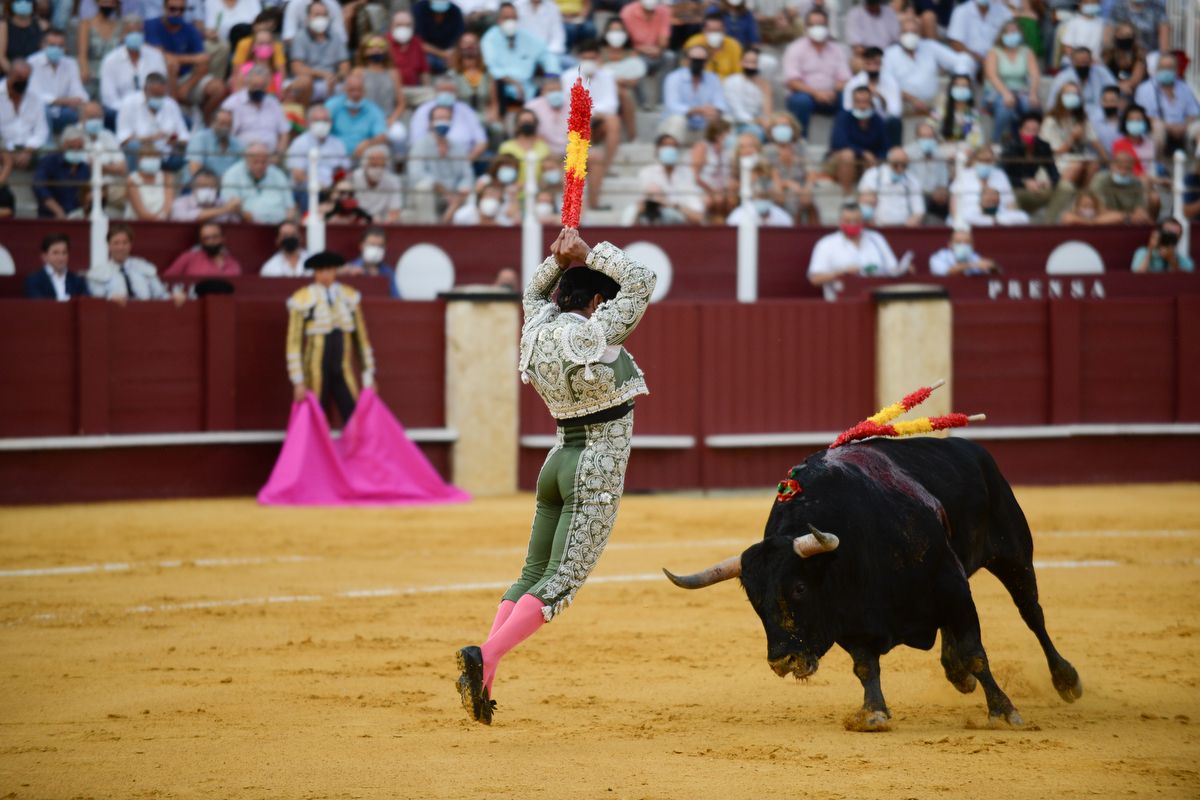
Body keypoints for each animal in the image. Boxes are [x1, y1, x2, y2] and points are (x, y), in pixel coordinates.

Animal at [662, 438, 1084, 734]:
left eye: (798, 588)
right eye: (753, 600)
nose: (783, 661)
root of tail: (972, 450)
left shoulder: (952, 589)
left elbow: (976, 652)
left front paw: (1004, 711)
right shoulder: (849, 621)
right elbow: (865, 666)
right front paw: (873, 713)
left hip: (1013, 555)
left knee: (1033, 615)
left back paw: (1067, 681)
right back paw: (956, 674)